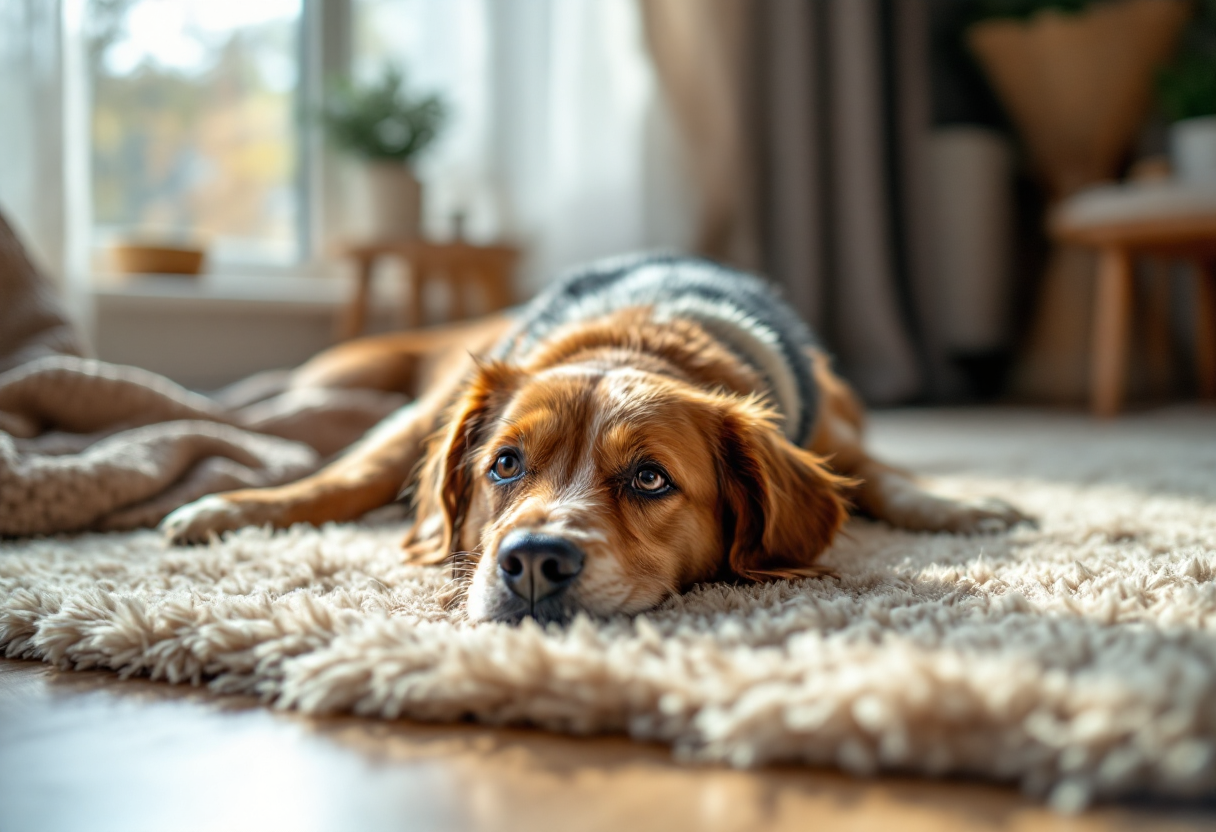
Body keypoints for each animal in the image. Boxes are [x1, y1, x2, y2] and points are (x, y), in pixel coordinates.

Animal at [164, 253, 1026, 622]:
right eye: (504, 464)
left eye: (650, 479)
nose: (533, 564)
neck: (643, 334)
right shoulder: (421, 420)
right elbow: (343, 477)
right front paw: (230, 509)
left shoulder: (841, 430)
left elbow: (888, 477)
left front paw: (964, 507)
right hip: (348, 379)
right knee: (276, 415)